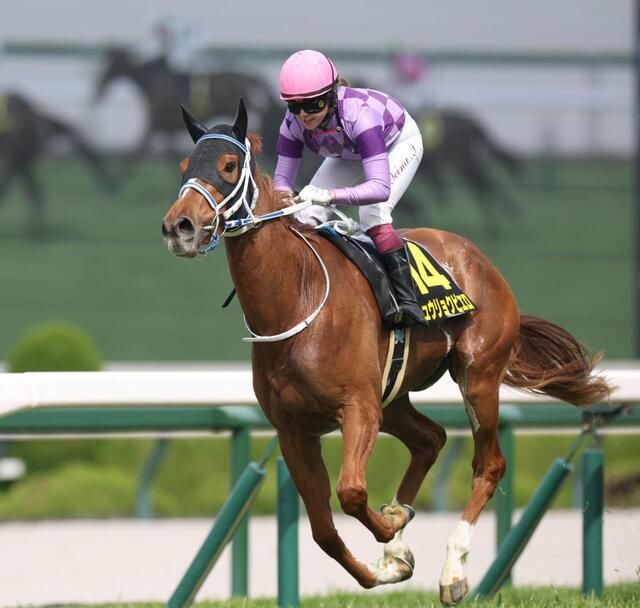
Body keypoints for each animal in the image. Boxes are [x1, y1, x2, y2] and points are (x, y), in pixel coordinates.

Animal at [93, 47, 282, 166]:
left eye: (111, 64)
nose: (99, 87)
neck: (153, 82)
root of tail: (252, 78)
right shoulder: (164, 129)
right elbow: (168, 155)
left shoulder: (153, 125)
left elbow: (135, 152)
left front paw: (112, 184)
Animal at [161, 99, 610, 605]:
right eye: (184, 166)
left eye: (228, 165)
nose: (178, 227)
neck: (297, 297)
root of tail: (478, 259)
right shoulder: (294, 431)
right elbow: (323, 531)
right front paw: (391, 560)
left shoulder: (358, 408)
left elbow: (352, 492)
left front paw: (393, 525)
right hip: (393, 395)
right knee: (430, 439)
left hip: (477, 376)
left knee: (489, 463)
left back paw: (452, 571)